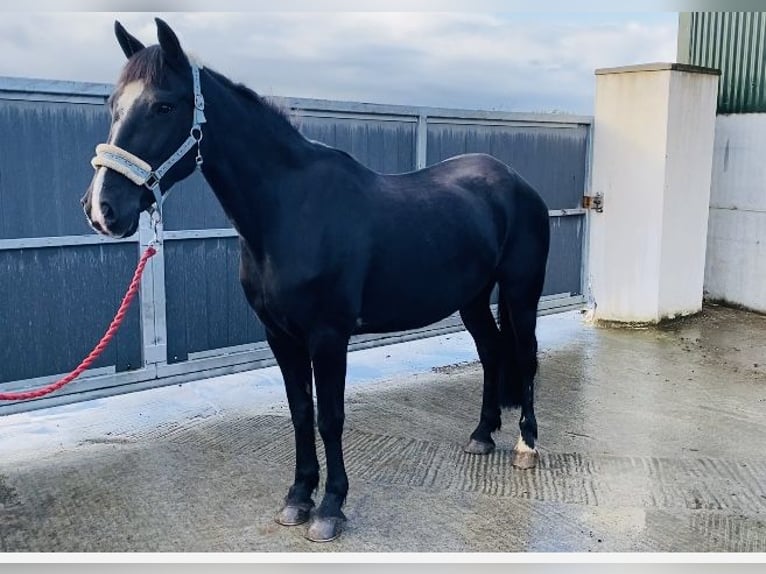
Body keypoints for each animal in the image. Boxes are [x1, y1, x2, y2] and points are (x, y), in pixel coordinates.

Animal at [82, 19, 552, 544]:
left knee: (525, 357)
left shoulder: (328, 337)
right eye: (113, 105)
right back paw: (482, 435)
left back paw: (526, 446)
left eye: (163, 105)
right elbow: (300, 413)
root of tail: (514, 181)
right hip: (471, 298)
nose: (102, 209)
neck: (291, 209)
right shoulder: (280, 336)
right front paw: (298, 498)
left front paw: (330, 508)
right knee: (491, 351)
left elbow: (330, 417)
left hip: (521, 292)